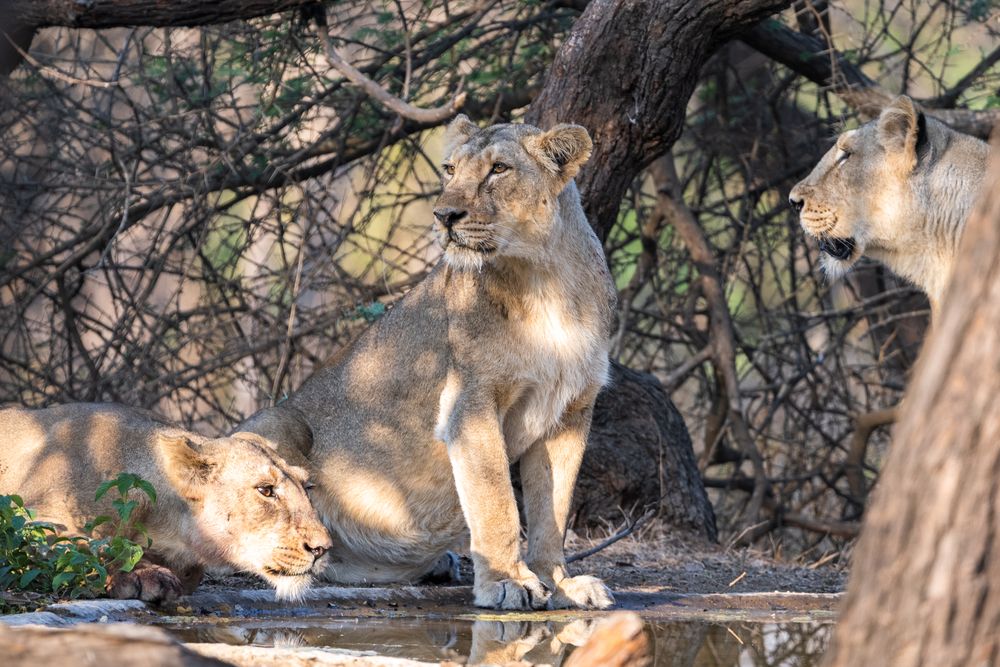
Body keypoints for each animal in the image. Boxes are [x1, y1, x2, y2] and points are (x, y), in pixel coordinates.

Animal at [0, 403, 332, 603]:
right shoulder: (28, 521)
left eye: (307, 486)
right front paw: (142, 575)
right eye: (265, 490)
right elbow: (88, 548)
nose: (322, 549)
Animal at [239, 116, 617, 610]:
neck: (545, 279)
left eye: (499, 169)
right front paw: (508, 582)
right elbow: (497, 501)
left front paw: (560, 583)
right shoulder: (470, 402)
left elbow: (553, 508)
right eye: (450, 170)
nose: (444, 216)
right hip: (273, 425)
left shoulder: (571, 410)